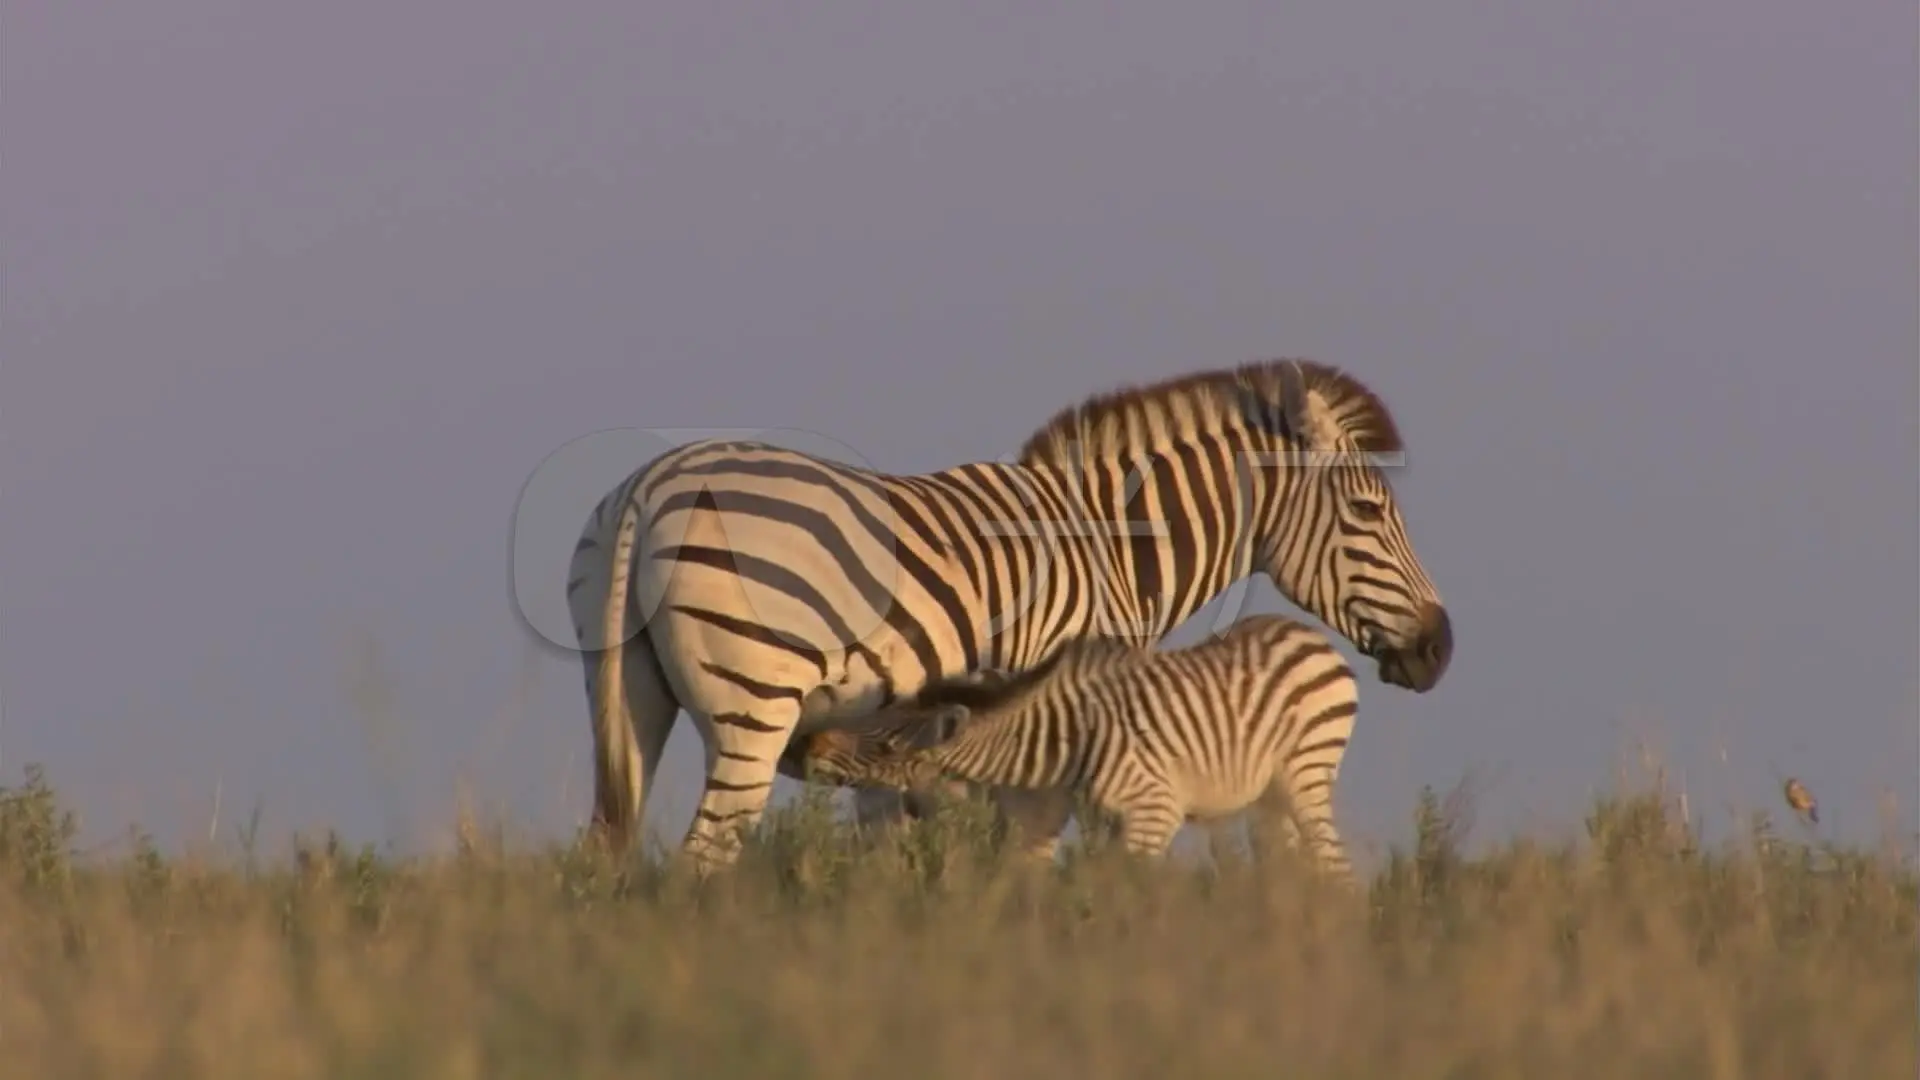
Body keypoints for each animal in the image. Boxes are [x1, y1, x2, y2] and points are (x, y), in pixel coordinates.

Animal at [794, 614, 1367, 876]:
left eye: (889, 748)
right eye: (880, 714)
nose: (812, 743)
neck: (1069, 740)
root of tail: (1306, 631)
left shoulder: (1153, 810)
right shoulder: (1100, 818)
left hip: (1306, 775)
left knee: (1335, 864)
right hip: (1266, 799)